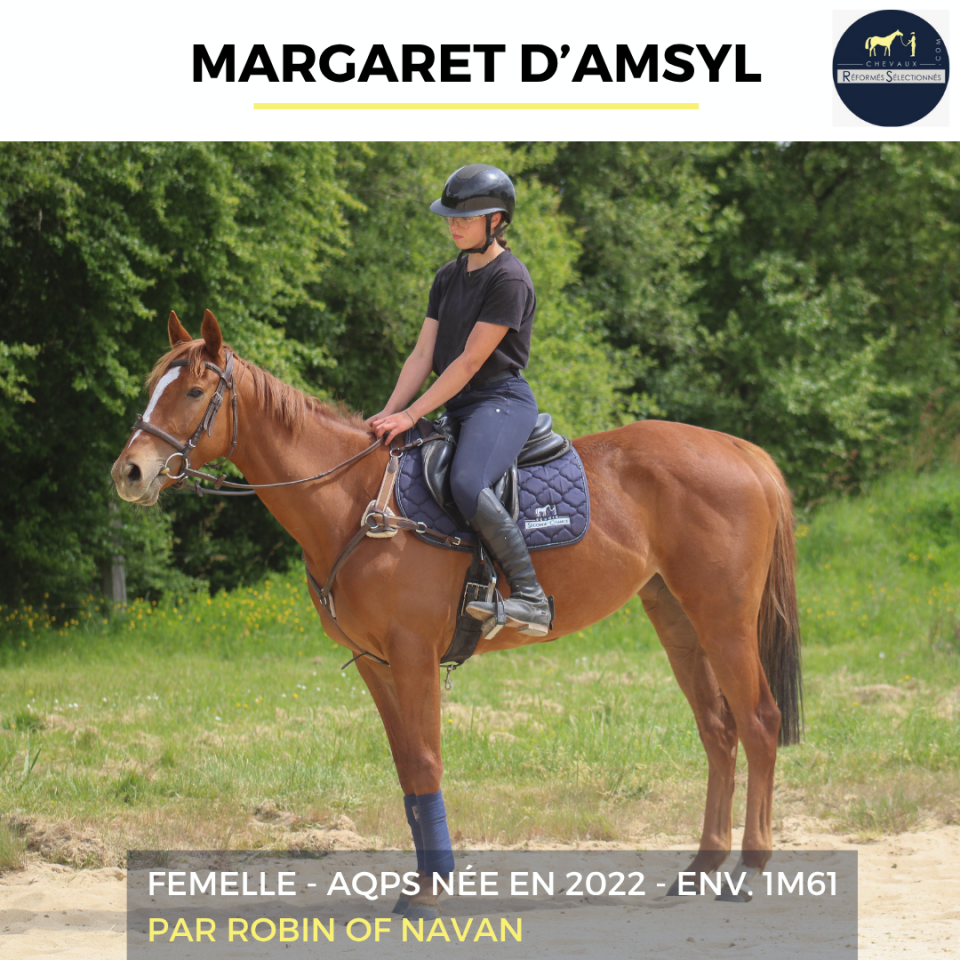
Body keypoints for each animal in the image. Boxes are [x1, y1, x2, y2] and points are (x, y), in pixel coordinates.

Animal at [111, 310, 802, 913]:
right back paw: (702, 869)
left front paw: (431, 889)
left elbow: (425, 760)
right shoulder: (376, 662)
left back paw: (749, 869)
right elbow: (407, 771)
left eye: (195, 391)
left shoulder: (414, 653)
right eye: (153, 389)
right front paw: (423, 881)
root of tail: (741, 451)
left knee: (759, 722)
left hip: (724, 620)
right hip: (678, 619)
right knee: (718, 731)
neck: (356, 502)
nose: (130, 472)